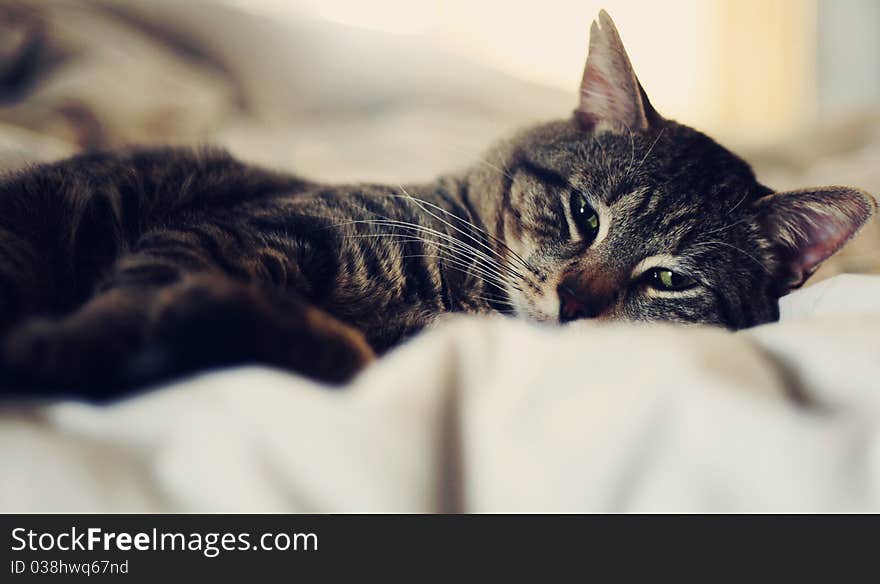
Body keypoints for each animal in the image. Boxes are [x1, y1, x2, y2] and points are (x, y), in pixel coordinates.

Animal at [0, 11, 872, 400]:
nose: (573, 304)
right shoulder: (238, 226)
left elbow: (339, 351)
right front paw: (73, 347)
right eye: (585, 216)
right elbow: (137, 296)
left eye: (670, 280)